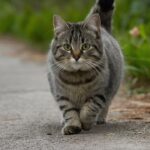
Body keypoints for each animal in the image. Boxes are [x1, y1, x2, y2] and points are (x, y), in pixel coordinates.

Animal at [47, 0, 123, 135]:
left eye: (85, 46)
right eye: (67, 47)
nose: (76, 56)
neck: (77, 80)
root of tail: (103, 28)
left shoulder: (100, 92)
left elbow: (88, 109)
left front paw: (86, 123)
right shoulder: (62, 95)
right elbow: (69, 112)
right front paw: (72, 125)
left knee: (106, 105)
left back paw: (100, 118)